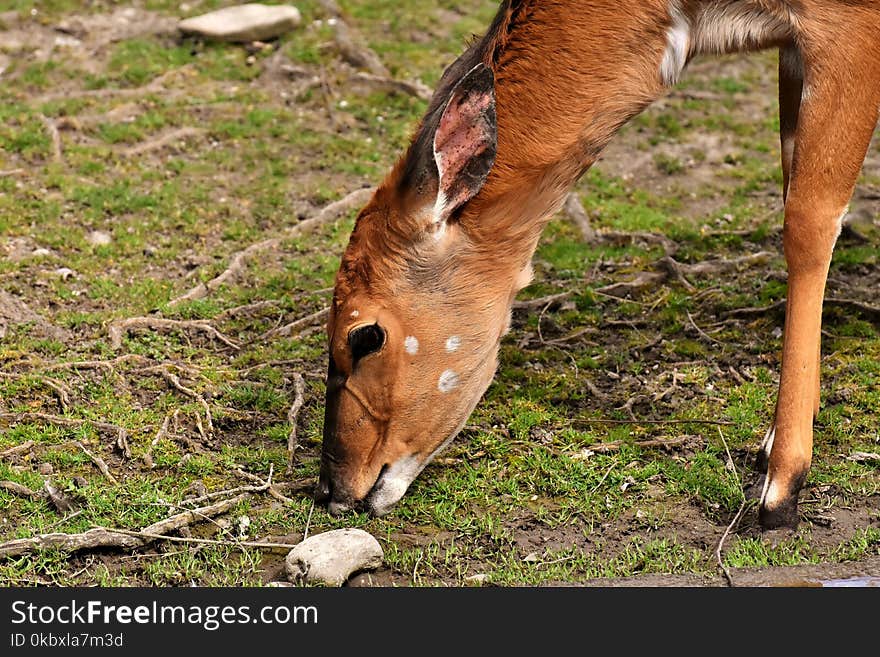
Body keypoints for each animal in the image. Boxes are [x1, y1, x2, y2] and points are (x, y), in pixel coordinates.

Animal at [316, 0, 880, 528]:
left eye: (364, 336)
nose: (331, 489)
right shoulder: (793, 48)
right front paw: (771, 441)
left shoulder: (843, 28)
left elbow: (808, 222)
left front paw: (780, 490)